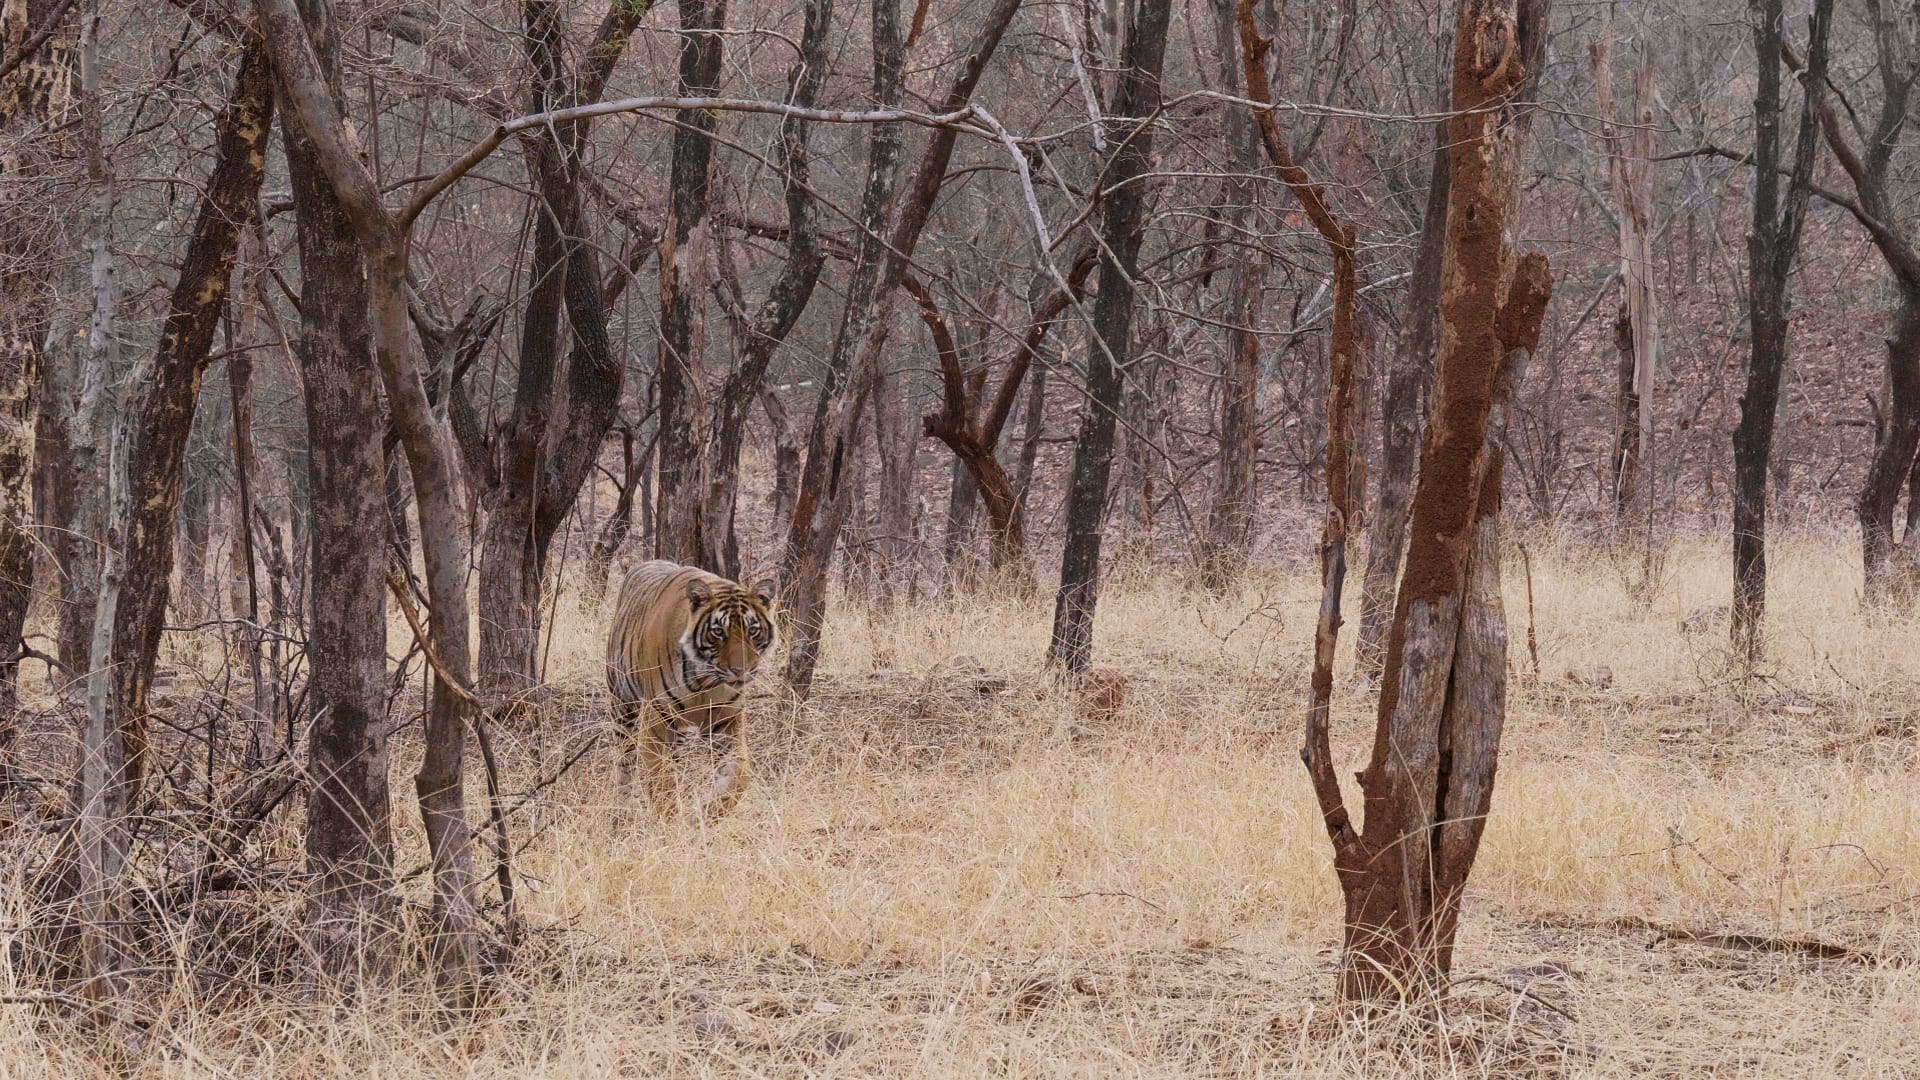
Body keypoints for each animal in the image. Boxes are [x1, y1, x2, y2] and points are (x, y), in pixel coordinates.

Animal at [602, 564, 775, 814]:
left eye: (752, 630)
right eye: (718, 632)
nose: (741, 670)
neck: (705, 682)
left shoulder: (726, 724)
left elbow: (738, 779)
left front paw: (705, 811)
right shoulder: (658, 722)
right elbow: (662, 785)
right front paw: (673, 820)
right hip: (623, 705)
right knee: (624, 762)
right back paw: (621, 809)